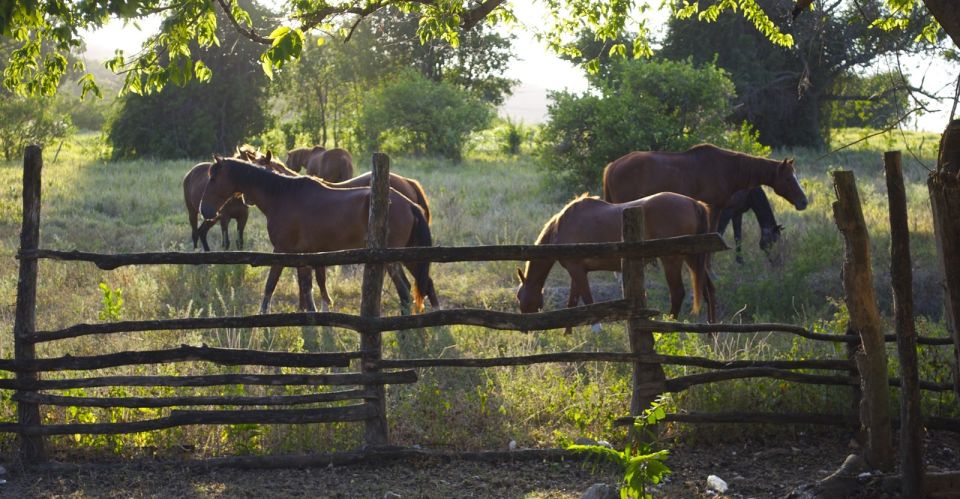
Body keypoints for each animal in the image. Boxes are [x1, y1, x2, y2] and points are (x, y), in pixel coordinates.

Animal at [199, 156, 438, 314]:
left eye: (213, 179)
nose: (205, 210)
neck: (283, 196)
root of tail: (409, 204)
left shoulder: (282, 251)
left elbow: (271, 285)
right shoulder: (303, 255)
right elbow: (307, 288)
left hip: (394, 259)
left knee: (405, 291)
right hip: (408, 254)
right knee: (422, 285)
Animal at [516, 192, 712, 332]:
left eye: (519, 296)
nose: (525, 329)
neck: (561, 227)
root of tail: (694, 203)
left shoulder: (576, 270)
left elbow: (588, 300)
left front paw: (596, 330)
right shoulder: (577, 271)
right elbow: (572, 303)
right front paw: (568, 333)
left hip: (672, 259)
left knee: (677, 292)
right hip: (692, 257)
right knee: (708, 290)